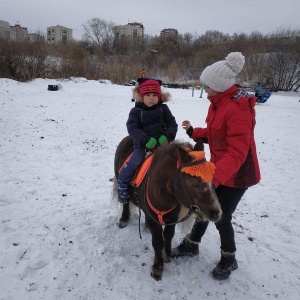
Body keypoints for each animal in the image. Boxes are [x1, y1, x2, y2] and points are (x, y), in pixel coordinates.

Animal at [113, 137, 221, 282]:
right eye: (195, 184)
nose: (217, 213)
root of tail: (127, 138)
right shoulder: (154, 221)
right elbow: (157, 242)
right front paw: (157, 267)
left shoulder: (172, 217)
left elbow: (169, 235)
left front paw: (167, 255)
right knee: (125, 202)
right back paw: (124, 219)